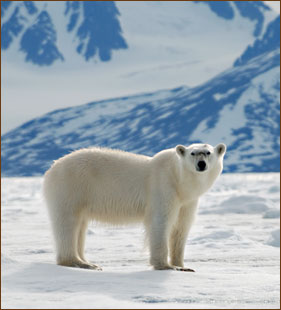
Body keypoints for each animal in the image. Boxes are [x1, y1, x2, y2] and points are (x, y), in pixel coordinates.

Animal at [42, 143, 225, 272]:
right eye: (193, 153)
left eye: (208, 153)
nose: (201, 164)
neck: (179, 180)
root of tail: (52, 168)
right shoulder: (163, 187)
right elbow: (160, 222)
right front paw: (166, 266)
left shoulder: (187, 201)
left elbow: (181, 228)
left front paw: (182, 265)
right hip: (71, 187)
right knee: (68, 223)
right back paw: (80, 263)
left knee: (80, 226)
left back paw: (86, 261)